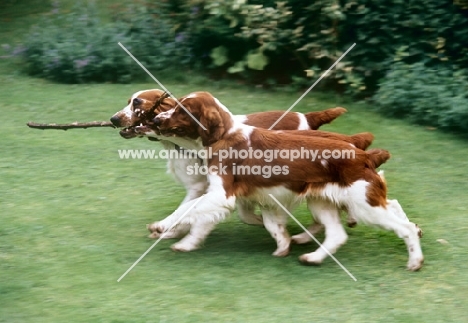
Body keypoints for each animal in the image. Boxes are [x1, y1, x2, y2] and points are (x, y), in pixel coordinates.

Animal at [144, 92, 424, 272]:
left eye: (182, 110)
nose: (155, 120)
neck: (224, 135)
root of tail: (365, 155)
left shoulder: (221, 194)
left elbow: (189, 209)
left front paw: (163, 226)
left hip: (363, 204)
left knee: (405, 227)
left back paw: (415, 262)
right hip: (323, 201)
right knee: (338, 234)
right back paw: (312, 257)